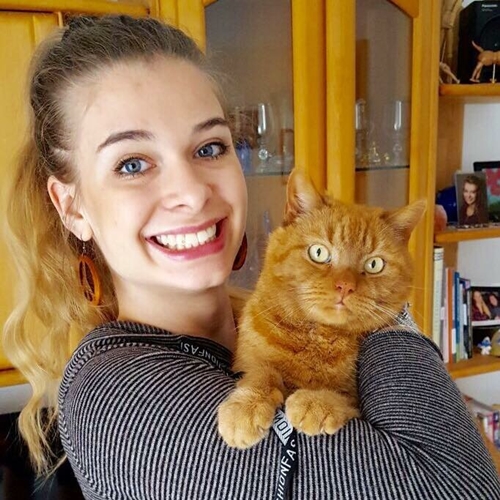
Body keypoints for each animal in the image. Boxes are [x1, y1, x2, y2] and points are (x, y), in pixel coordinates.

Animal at [218, 169, 426, 449]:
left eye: (374, 264)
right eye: (318, 252)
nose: (345, 286)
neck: (315, 335)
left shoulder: (355, 401)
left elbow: (344, 397)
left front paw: (315, 403)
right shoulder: (248, 361)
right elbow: (261, 373)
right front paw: (245, 407)